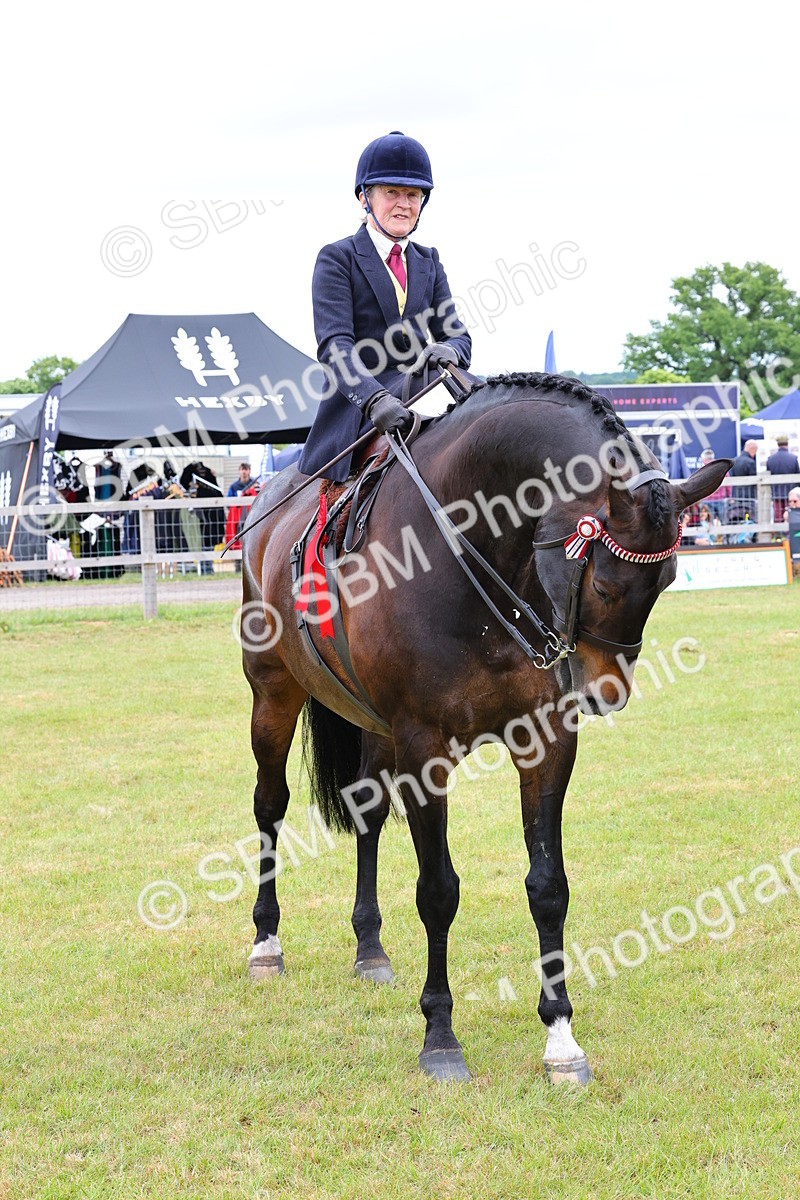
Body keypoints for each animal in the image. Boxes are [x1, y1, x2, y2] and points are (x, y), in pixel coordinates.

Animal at [239, 371, 729, 1084]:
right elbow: (438, 891)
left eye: (666, 580)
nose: (605, 691)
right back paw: (266, 941)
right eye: (606, 586)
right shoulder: (423, 749)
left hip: (372, 724)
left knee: (367, 814)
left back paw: (369, 947)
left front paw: (561, 1037)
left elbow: (548, 887)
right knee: (269, 807)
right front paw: (440, 1036)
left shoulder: (546, 739)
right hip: (273, 692)